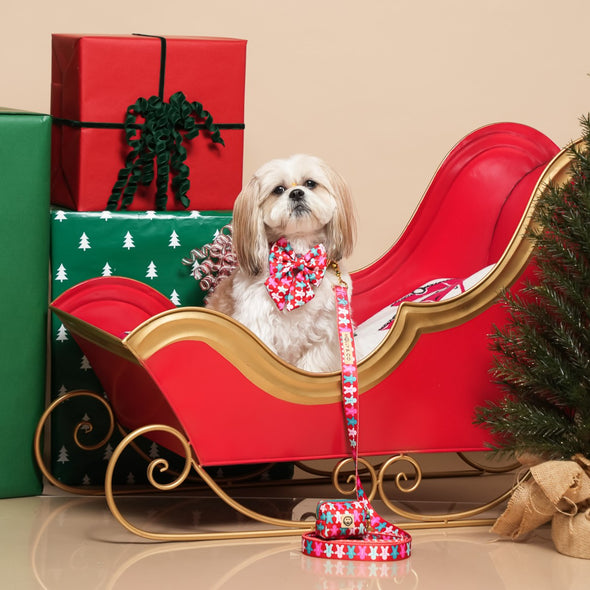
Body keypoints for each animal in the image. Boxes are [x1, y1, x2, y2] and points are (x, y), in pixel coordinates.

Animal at [206, 155, 358, 372]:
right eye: (278, 189)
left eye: (310, 183)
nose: (296, 193)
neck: (298, 252)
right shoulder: (257, 325)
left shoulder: (326, 332)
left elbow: (311, 367)